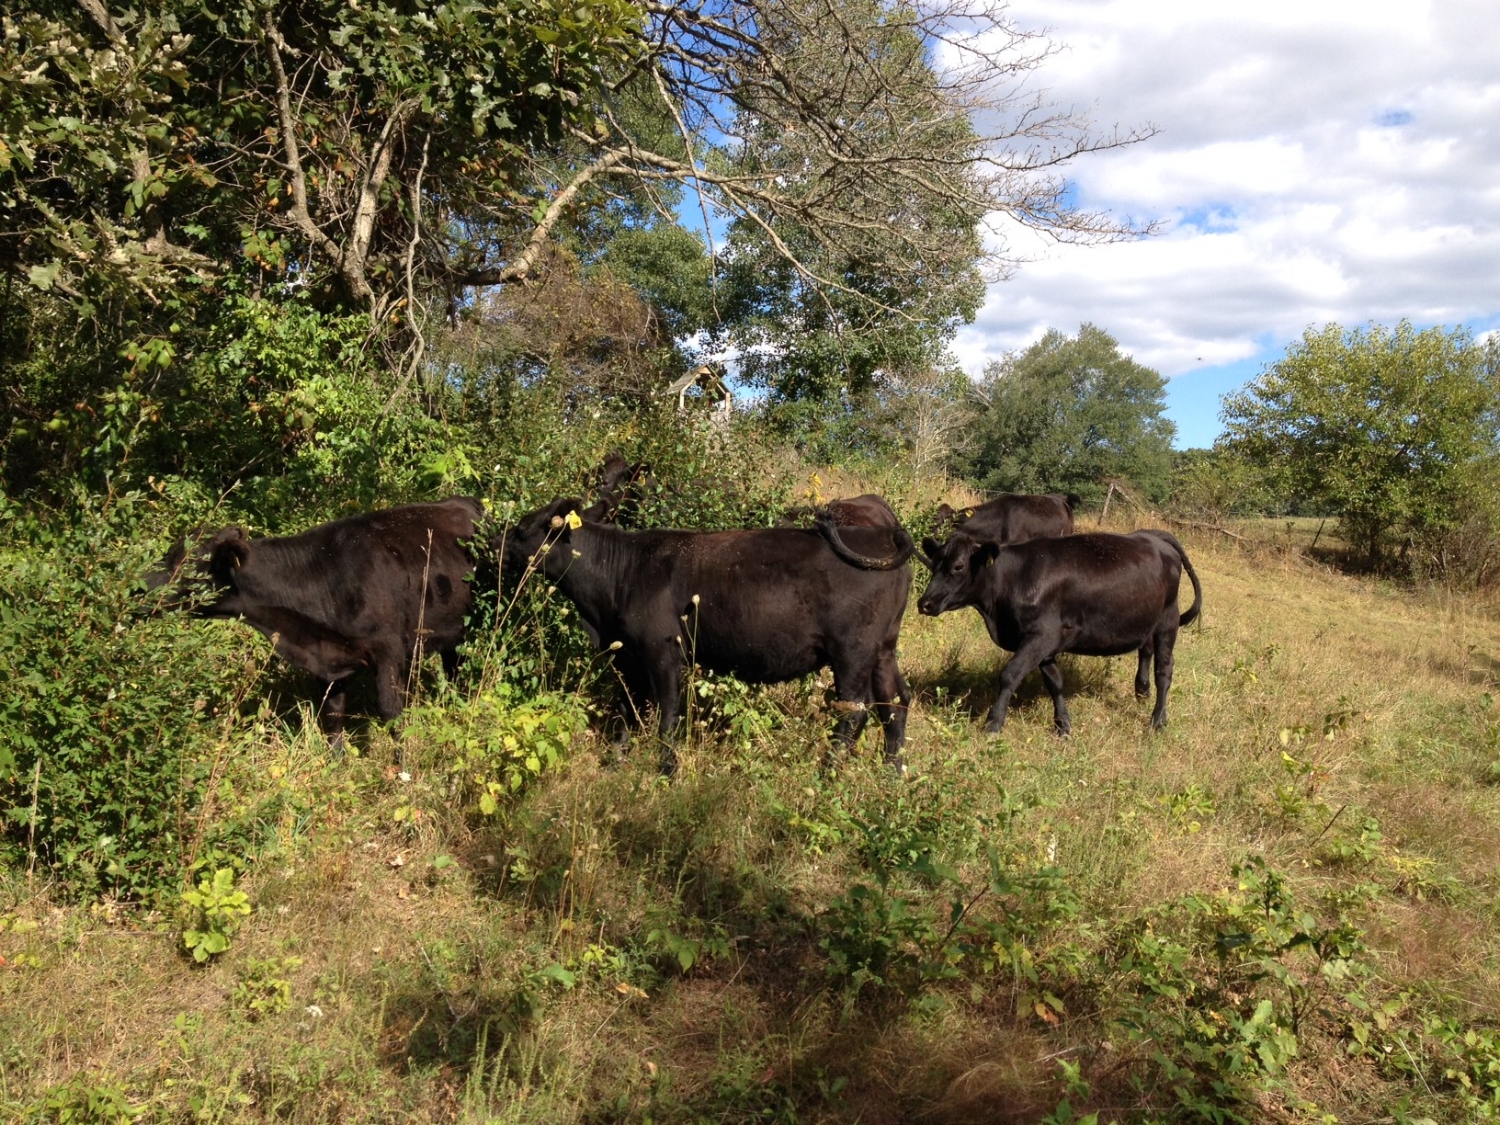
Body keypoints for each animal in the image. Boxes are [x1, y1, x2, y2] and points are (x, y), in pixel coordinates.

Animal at [149, 498, 483, 744]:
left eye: (191, 564)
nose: (142, 588)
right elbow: (332, 719)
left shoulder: (389, 652)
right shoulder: (329, 663)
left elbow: (392, 715)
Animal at [507, 501, 912, 774]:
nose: (497, 541)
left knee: (855, 710)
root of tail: (884, 535)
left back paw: (827, 773)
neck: (623, 571)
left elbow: (667, 713)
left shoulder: (663, 652)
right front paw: (616, 762)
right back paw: (892, 772)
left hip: (852, 652)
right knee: (894, 703)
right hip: (882, 649)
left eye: (523, 529)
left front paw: (666, 770)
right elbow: (626, 708)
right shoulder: (627, 657)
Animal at [912, 531, 1206, 735]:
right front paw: (1062, 724)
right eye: (934, 563)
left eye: (958, 567)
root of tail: (1154, 536)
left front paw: (993, 723)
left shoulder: (1040, 635)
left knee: (1164, 672)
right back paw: (1142, 691)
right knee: (1146, 650)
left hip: (1168, 621)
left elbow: (1009, 674)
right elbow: (1054, 681)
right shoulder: (1046, 641)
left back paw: (1157, 720)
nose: (925, 603)